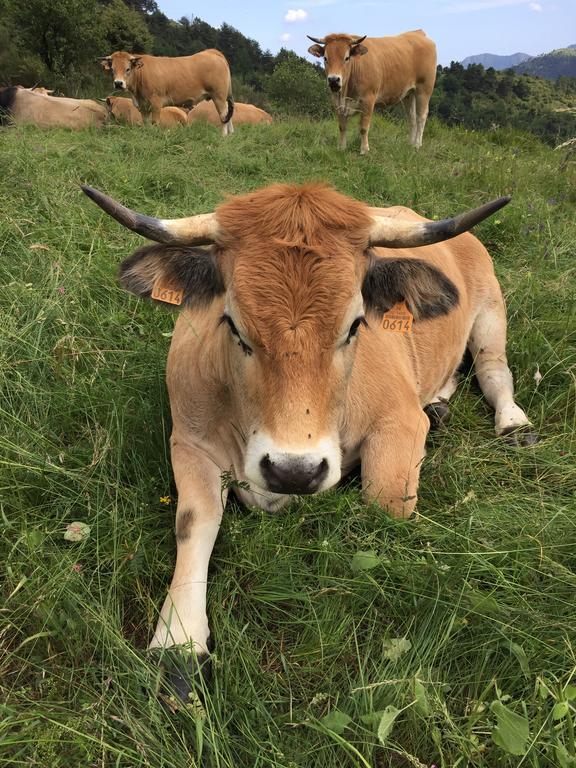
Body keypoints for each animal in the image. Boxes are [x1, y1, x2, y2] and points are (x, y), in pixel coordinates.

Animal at [81, 183, 536, 700]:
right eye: (232, 324)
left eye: (356, 324)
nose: (292, 470)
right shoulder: (190, 442)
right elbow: (195, 521)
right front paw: (179, 641)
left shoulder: (400, 423)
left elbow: (384, 501)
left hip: (491, 313)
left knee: (494, 368)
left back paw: (513, 424)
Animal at [99, 48, 234, 132]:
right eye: (112, 69)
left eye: (128, 69)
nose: (118, 83)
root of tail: (211, 52)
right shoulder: (143, 106)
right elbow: (146, 122)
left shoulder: (156, 103)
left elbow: (155, 122)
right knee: (228, 115)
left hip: (219, 96)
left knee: (223, 117)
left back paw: (223, 136)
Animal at [306, 30, 436, 154]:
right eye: (325, 58)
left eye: (347, 58)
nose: (333, 80)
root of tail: (418, 33)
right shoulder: (337, 102)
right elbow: (342, 127)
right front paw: (341, 148)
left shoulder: (368, 100)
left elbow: (363, 128)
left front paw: (364, 150)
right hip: (409, 94)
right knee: (412, 118)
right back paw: (410, 144)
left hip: (424, 90)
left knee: (421, 117)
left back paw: (417, 145)